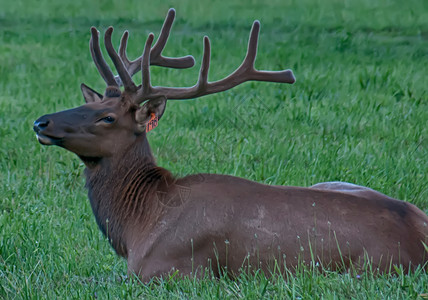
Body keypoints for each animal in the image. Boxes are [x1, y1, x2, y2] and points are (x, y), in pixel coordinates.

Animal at [34, 9, 428, 282]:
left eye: (107, 117)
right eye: (87, 102)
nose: (41, 122)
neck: (139, 224)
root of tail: (419, 233)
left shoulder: (170, 270)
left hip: (370, 267)